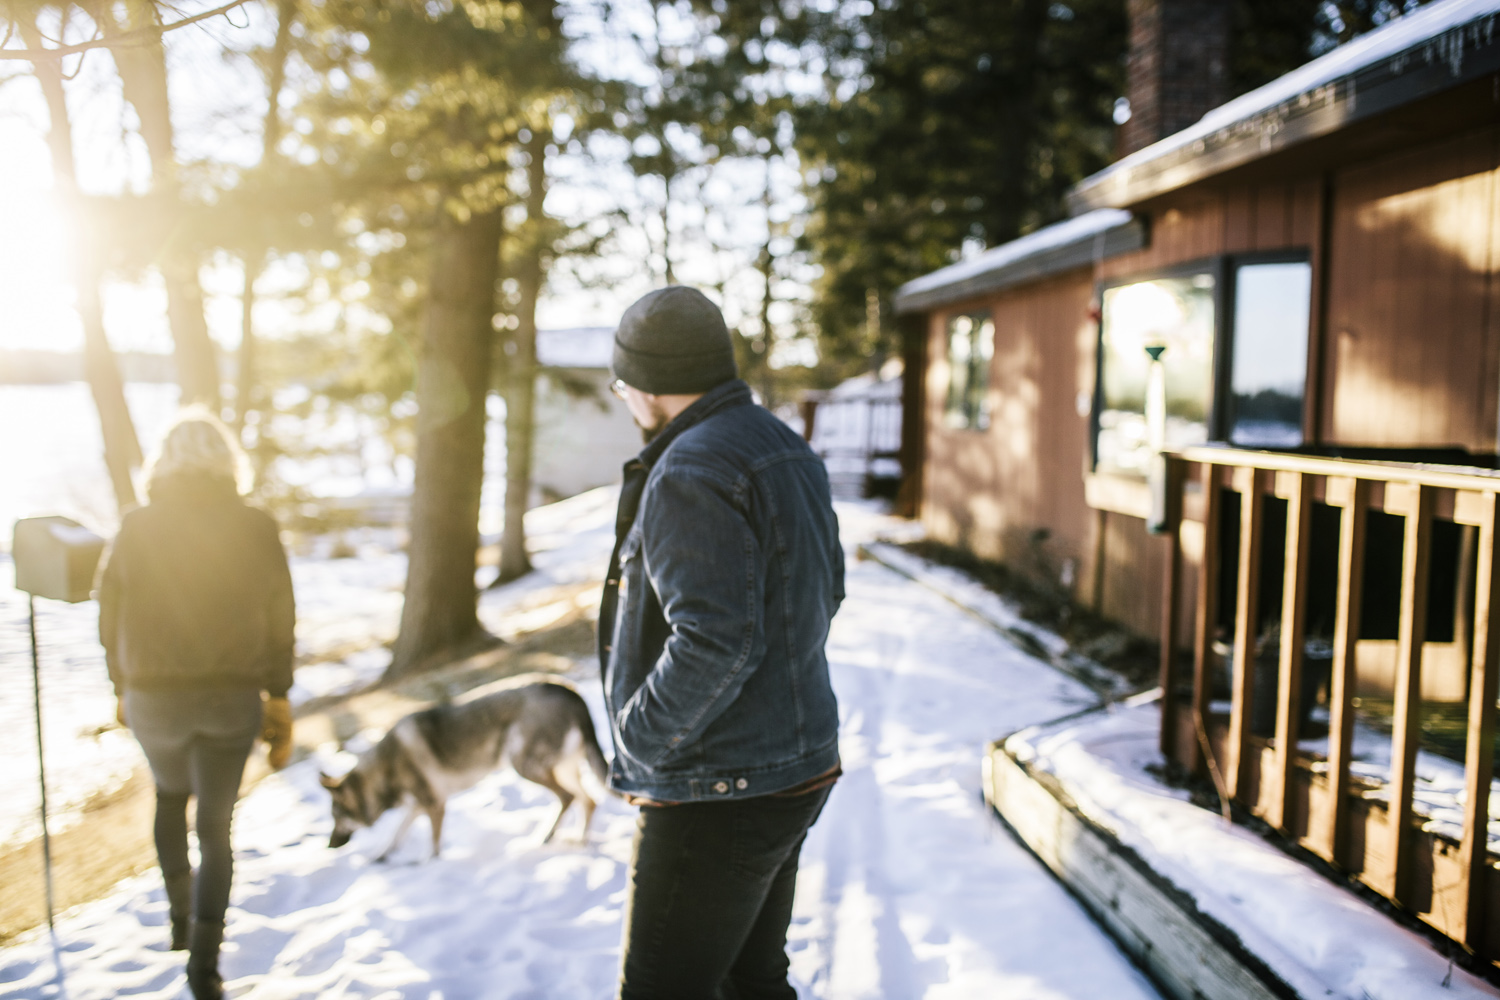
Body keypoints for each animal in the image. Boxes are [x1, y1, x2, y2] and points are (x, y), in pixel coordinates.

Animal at [322, 671, 609, 863]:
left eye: (337, 817)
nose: (329, 846)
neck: (383, 770)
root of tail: (567, 688)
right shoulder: (417, 807)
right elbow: (396, 835)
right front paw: (380, 856)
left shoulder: (435, 805)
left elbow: (433, 845)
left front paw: (428, 863)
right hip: (561, 769)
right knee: (589, 801)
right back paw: (580, 841)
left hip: (523, 765)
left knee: (568, 798)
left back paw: (547, 837)